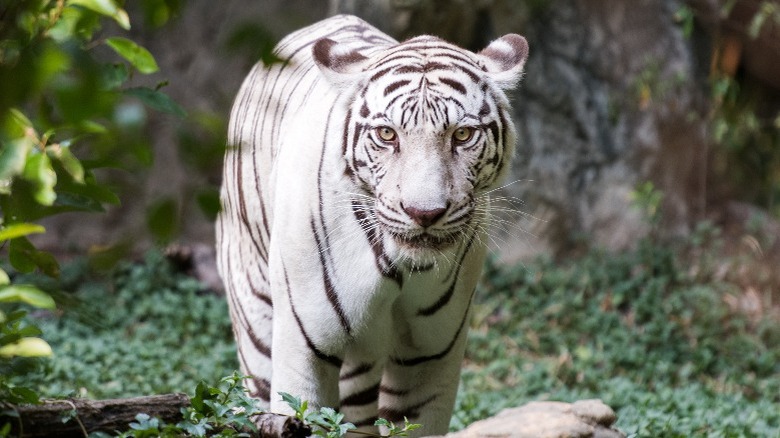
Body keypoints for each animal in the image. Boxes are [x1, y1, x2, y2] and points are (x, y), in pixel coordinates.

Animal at [216, 12, 528, 434]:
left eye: (462, 134)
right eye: (386, 134)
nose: (424, 213)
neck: (401, 267)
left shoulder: (431, 355)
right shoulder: (304, 348)